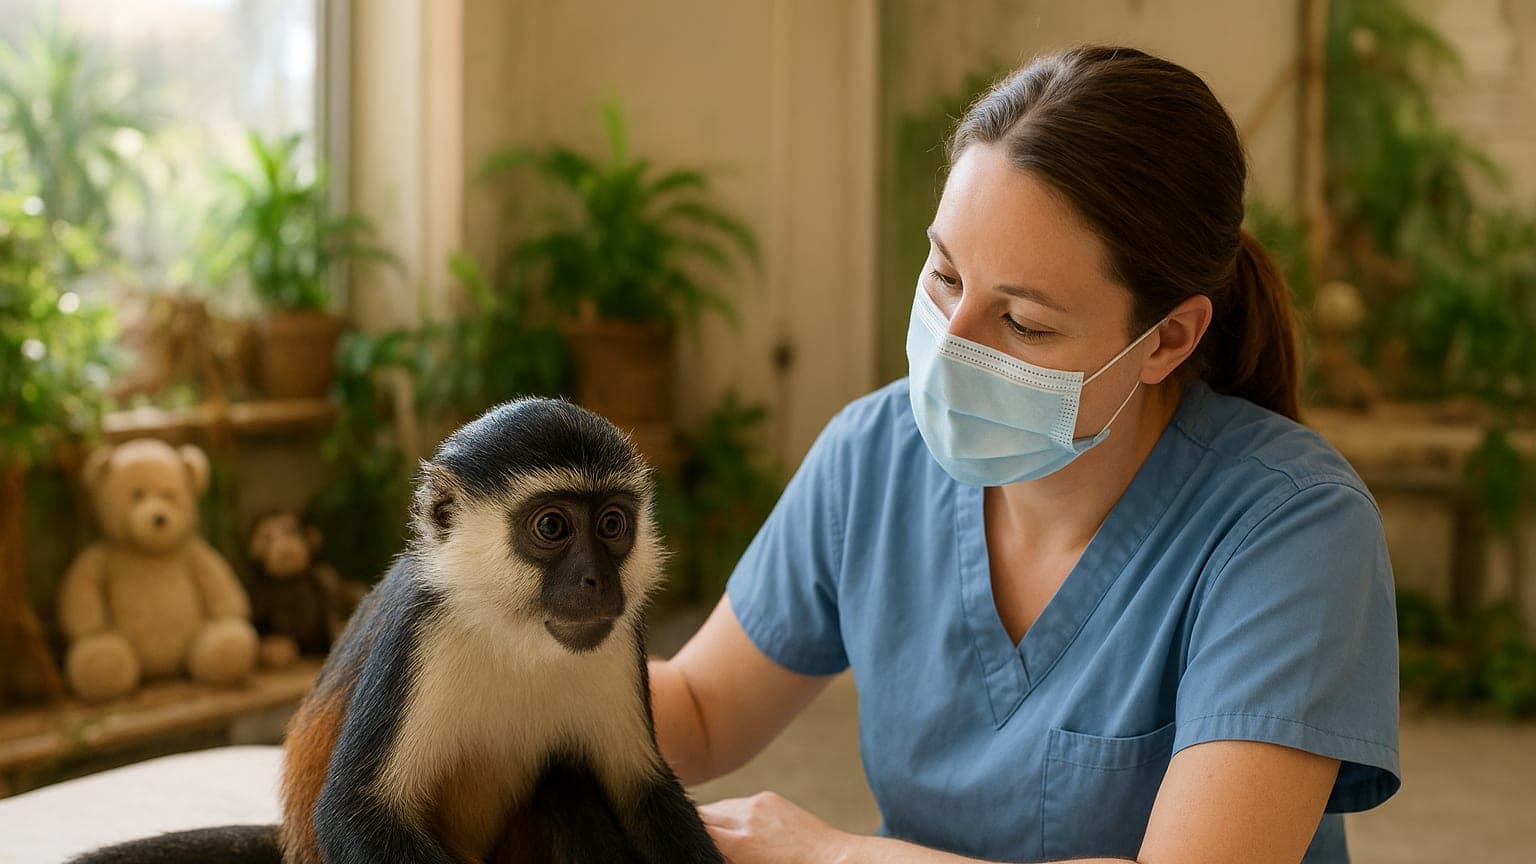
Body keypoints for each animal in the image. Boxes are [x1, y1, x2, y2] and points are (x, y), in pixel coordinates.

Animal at [70, 398, 724, 864]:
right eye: (552, 526)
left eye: (613, 524)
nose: (596, 580)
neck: (517, 636)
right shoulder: (421, 631)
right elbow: (354, 815)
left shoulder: (621, 635)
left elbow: (643, 792)